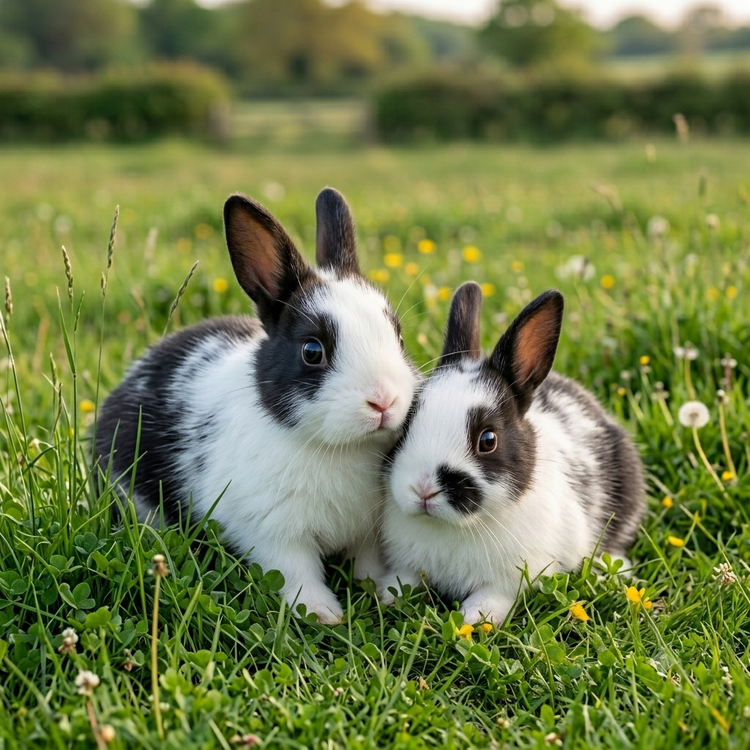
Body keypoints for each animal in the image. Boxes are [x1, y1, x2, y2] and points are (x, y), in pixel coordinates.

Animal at [96, 187, 419, 624]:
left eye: (397, 336)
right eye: (312, 351)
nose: (384, 401)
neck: (340, 447)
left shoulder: (366, 531)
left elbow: (365, 561)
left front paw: (376, 587)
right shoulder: (274, 534)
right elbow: (297, 571)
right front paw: (322, 613)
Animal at [377, 281, 644, 625]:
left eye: (488, 440)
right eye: (407, 423)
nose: (423, 490)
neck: (454, 527)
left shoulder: (509, 580)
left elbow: (493, 597)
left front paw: (475, 619)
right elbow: (406, 578)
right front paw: (387, 595)